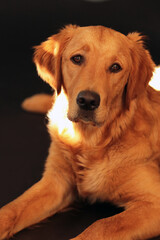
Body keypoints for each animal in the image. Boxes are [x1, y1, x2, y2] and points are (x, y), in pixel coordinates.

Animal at [0, 24, 160, 240]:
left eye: (115, 67)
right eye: (77, 58)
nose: (88, 101)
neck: (90, 141)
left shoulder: (154, 203)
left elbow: (100, 226)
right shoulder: (57, 180)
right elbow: (11, 210)